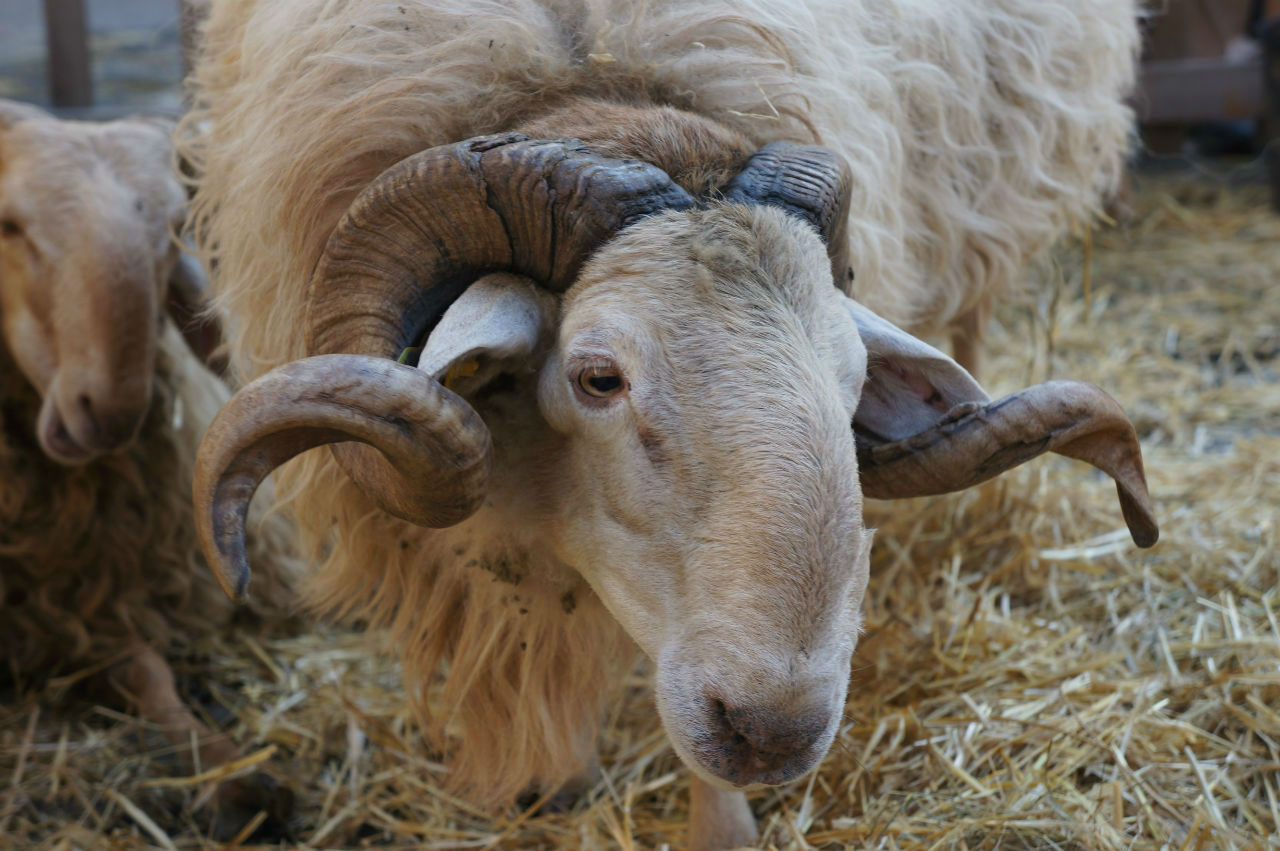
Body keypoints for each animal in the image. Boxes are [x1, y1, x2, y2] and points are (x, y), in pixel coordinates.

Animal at [177, 3, 1152, 844]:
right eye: (598, 378)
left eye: (854, 383)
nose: (774, 730)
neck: (596, 70)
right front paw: (545, 783)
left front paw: (720, 824)